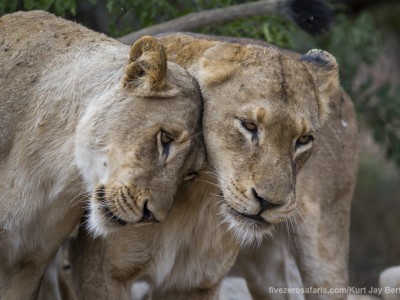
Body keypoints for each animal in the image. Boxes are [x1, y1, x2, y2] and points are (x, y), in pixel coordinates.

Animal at [61, 31, 356, 298]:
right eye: (249, 125)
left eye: (303, 140)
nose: (269, 203)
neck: (198, 196)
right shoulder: (99, 270)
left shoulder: (197, 281)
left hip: (325, 252)